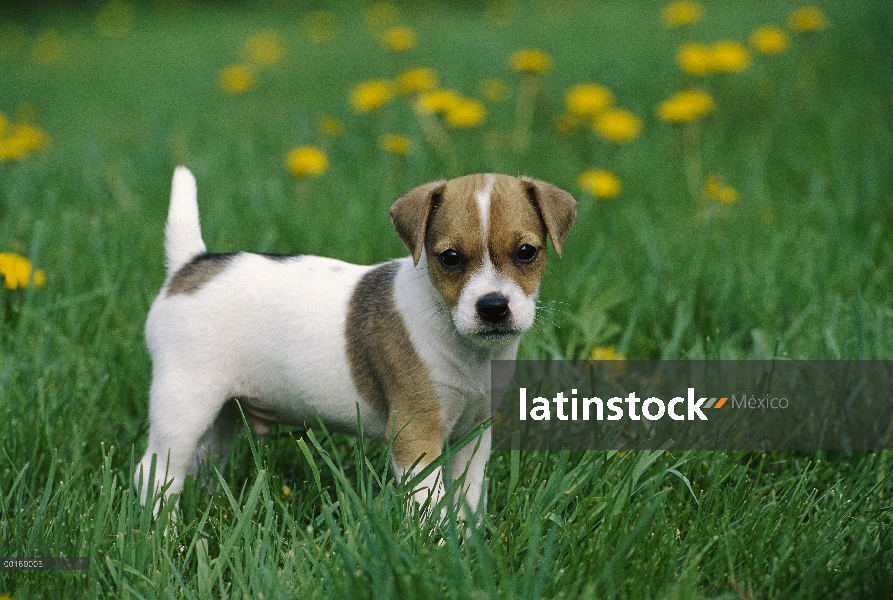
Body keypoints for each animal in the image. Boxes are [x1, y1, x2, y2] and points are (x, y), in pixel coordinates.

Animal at [136, 166, 576, 516]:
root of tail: (191, 266)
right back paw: (162, 536)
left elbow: (467, 498)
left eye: (526, 252)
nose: (493, 306)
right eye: (450, 258)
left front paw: (467, 546)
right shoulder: (416, 434)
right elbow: (428, 505)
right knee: (155, 474)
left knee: (200, 467)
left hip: (223, 415)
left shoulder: (473, 434)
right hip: (184, 405)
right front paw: (433, 550)